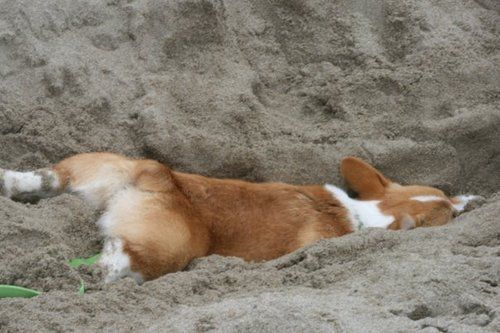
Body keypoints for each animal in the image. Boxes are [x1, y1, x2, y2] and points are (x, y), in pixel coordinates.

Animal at [0, 153, 476, 282]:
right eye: (446, 211)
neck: (361, 215)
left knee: (43, 178)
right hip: (165, 251)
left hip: (87, 170)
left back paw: (10, 183)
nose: (469, 200)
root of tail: (162, 177)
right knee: (115, 262)